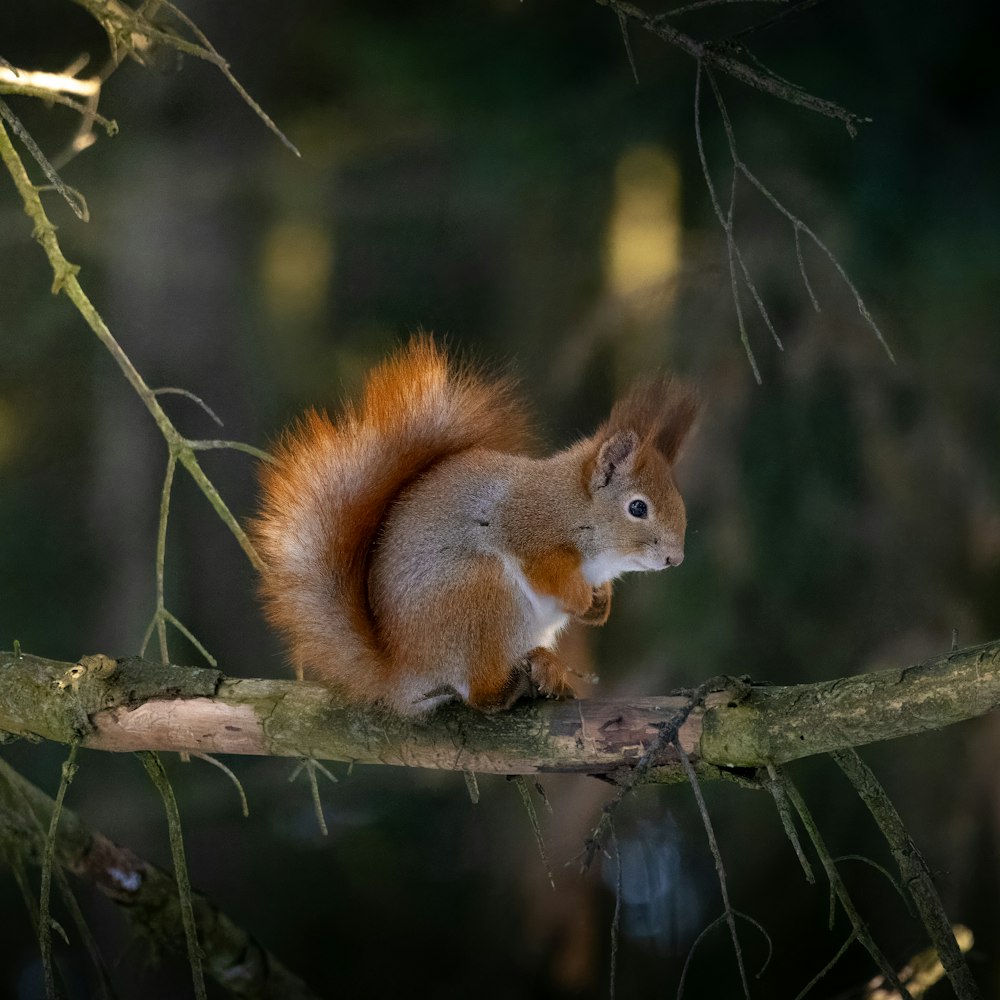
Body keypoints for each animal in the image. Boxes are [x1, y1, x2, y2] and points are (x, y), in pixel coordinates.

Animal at [252, 340, 696, 716]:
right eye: (637, 507)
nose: (675, 559)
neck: (572, 507)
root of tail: (403, 673)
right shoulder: (526, 525)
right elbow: (545, 569)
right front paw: (581, 599)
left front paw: (600, 606)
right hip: (481, 595)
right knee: (479, 696)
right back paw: (511, 687)